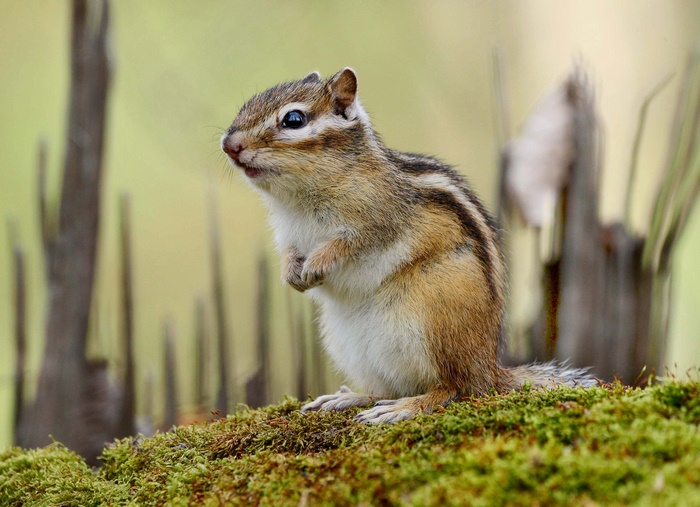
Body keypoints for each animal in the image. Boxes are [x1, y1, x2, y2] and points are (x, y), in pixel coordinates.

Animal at [221, 68, 597, 423]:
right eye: (246, 105)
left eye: (294, 120)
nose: (229, 144)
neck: (298, 198)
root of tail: (489, 367)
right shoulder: (288, 235)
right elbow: (288, 253)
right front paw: (290, 274)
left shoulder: (379, 221)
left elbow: (348, 244)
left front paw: (316, 264)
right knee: (390, 386)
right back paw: (350, 397)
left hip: (435, 317)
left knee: (455, 387)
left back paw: (406, 407)